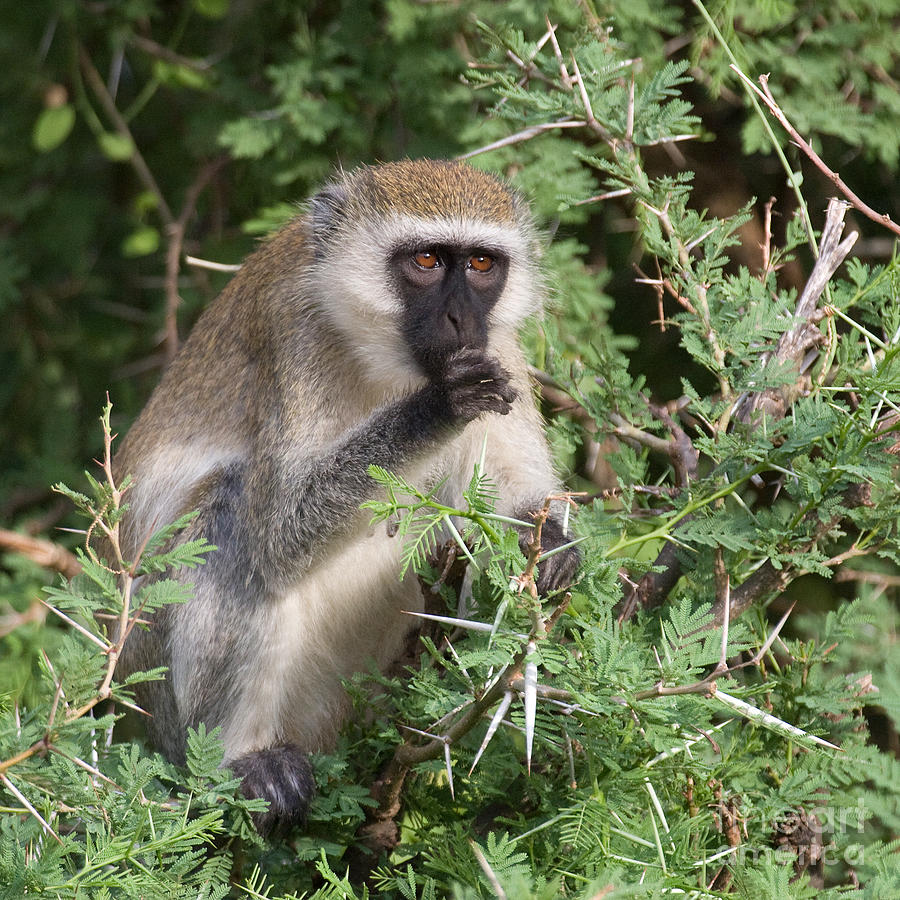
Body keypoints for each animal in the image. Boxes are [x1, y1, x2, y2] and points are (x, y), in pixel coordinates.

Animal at [116, 158, 580, 832]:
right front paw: (439, 406)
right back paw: (241, 764)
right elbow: (282, 533)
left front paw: (549, 544)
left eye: (481, 264)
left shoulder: (501, 353)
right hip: (172, 709)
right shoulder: (296, 337)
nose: (461, 321)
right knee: (231, 523)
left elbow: (518, 483)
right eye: (427, 261)